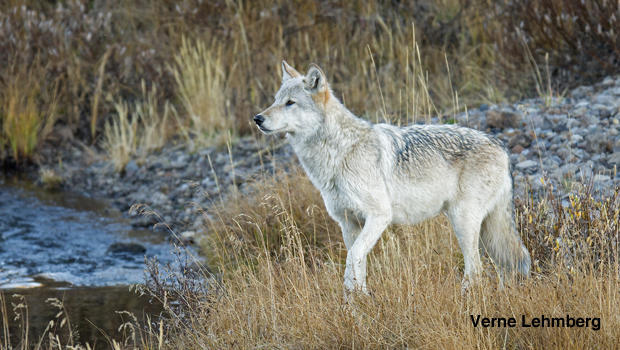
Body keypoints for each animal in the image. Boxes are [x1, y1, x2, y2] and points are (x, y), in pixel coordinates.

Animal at [254, 60, 532, 292]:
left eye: (290, 103)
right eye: (275, 100)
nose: (257, 118)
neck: (339, 152)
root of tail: (500, 145)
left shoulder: (379, 216)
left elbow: (351, 259)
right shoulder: (348, 224)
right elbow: (358, 267)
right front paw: (356, 307)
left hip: (463, 222)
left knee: (476, 270)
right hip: (483, 229)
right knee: (503, 265)